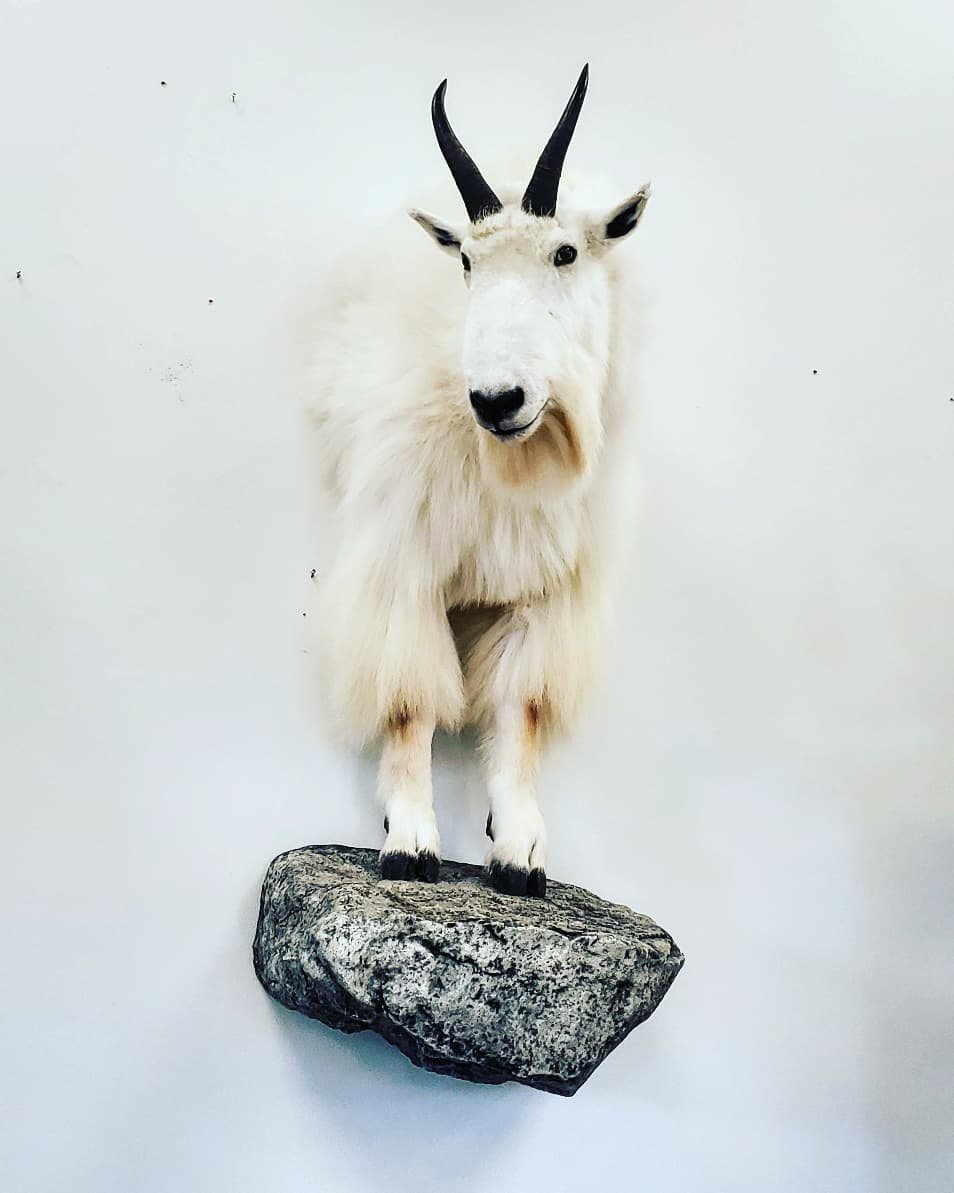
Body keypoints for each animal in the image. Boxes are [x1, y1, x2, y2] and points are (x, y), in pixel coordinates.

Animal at [311, 65, 651, 896]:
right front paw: (408, 840)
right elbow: (409, 700)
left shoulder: (547, 591)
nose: (498, 400)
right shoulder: (404, 560)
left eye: (566, 252)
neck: (513, 464)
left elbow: (519, 705)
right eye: (467, 261)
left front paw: (518, 849)